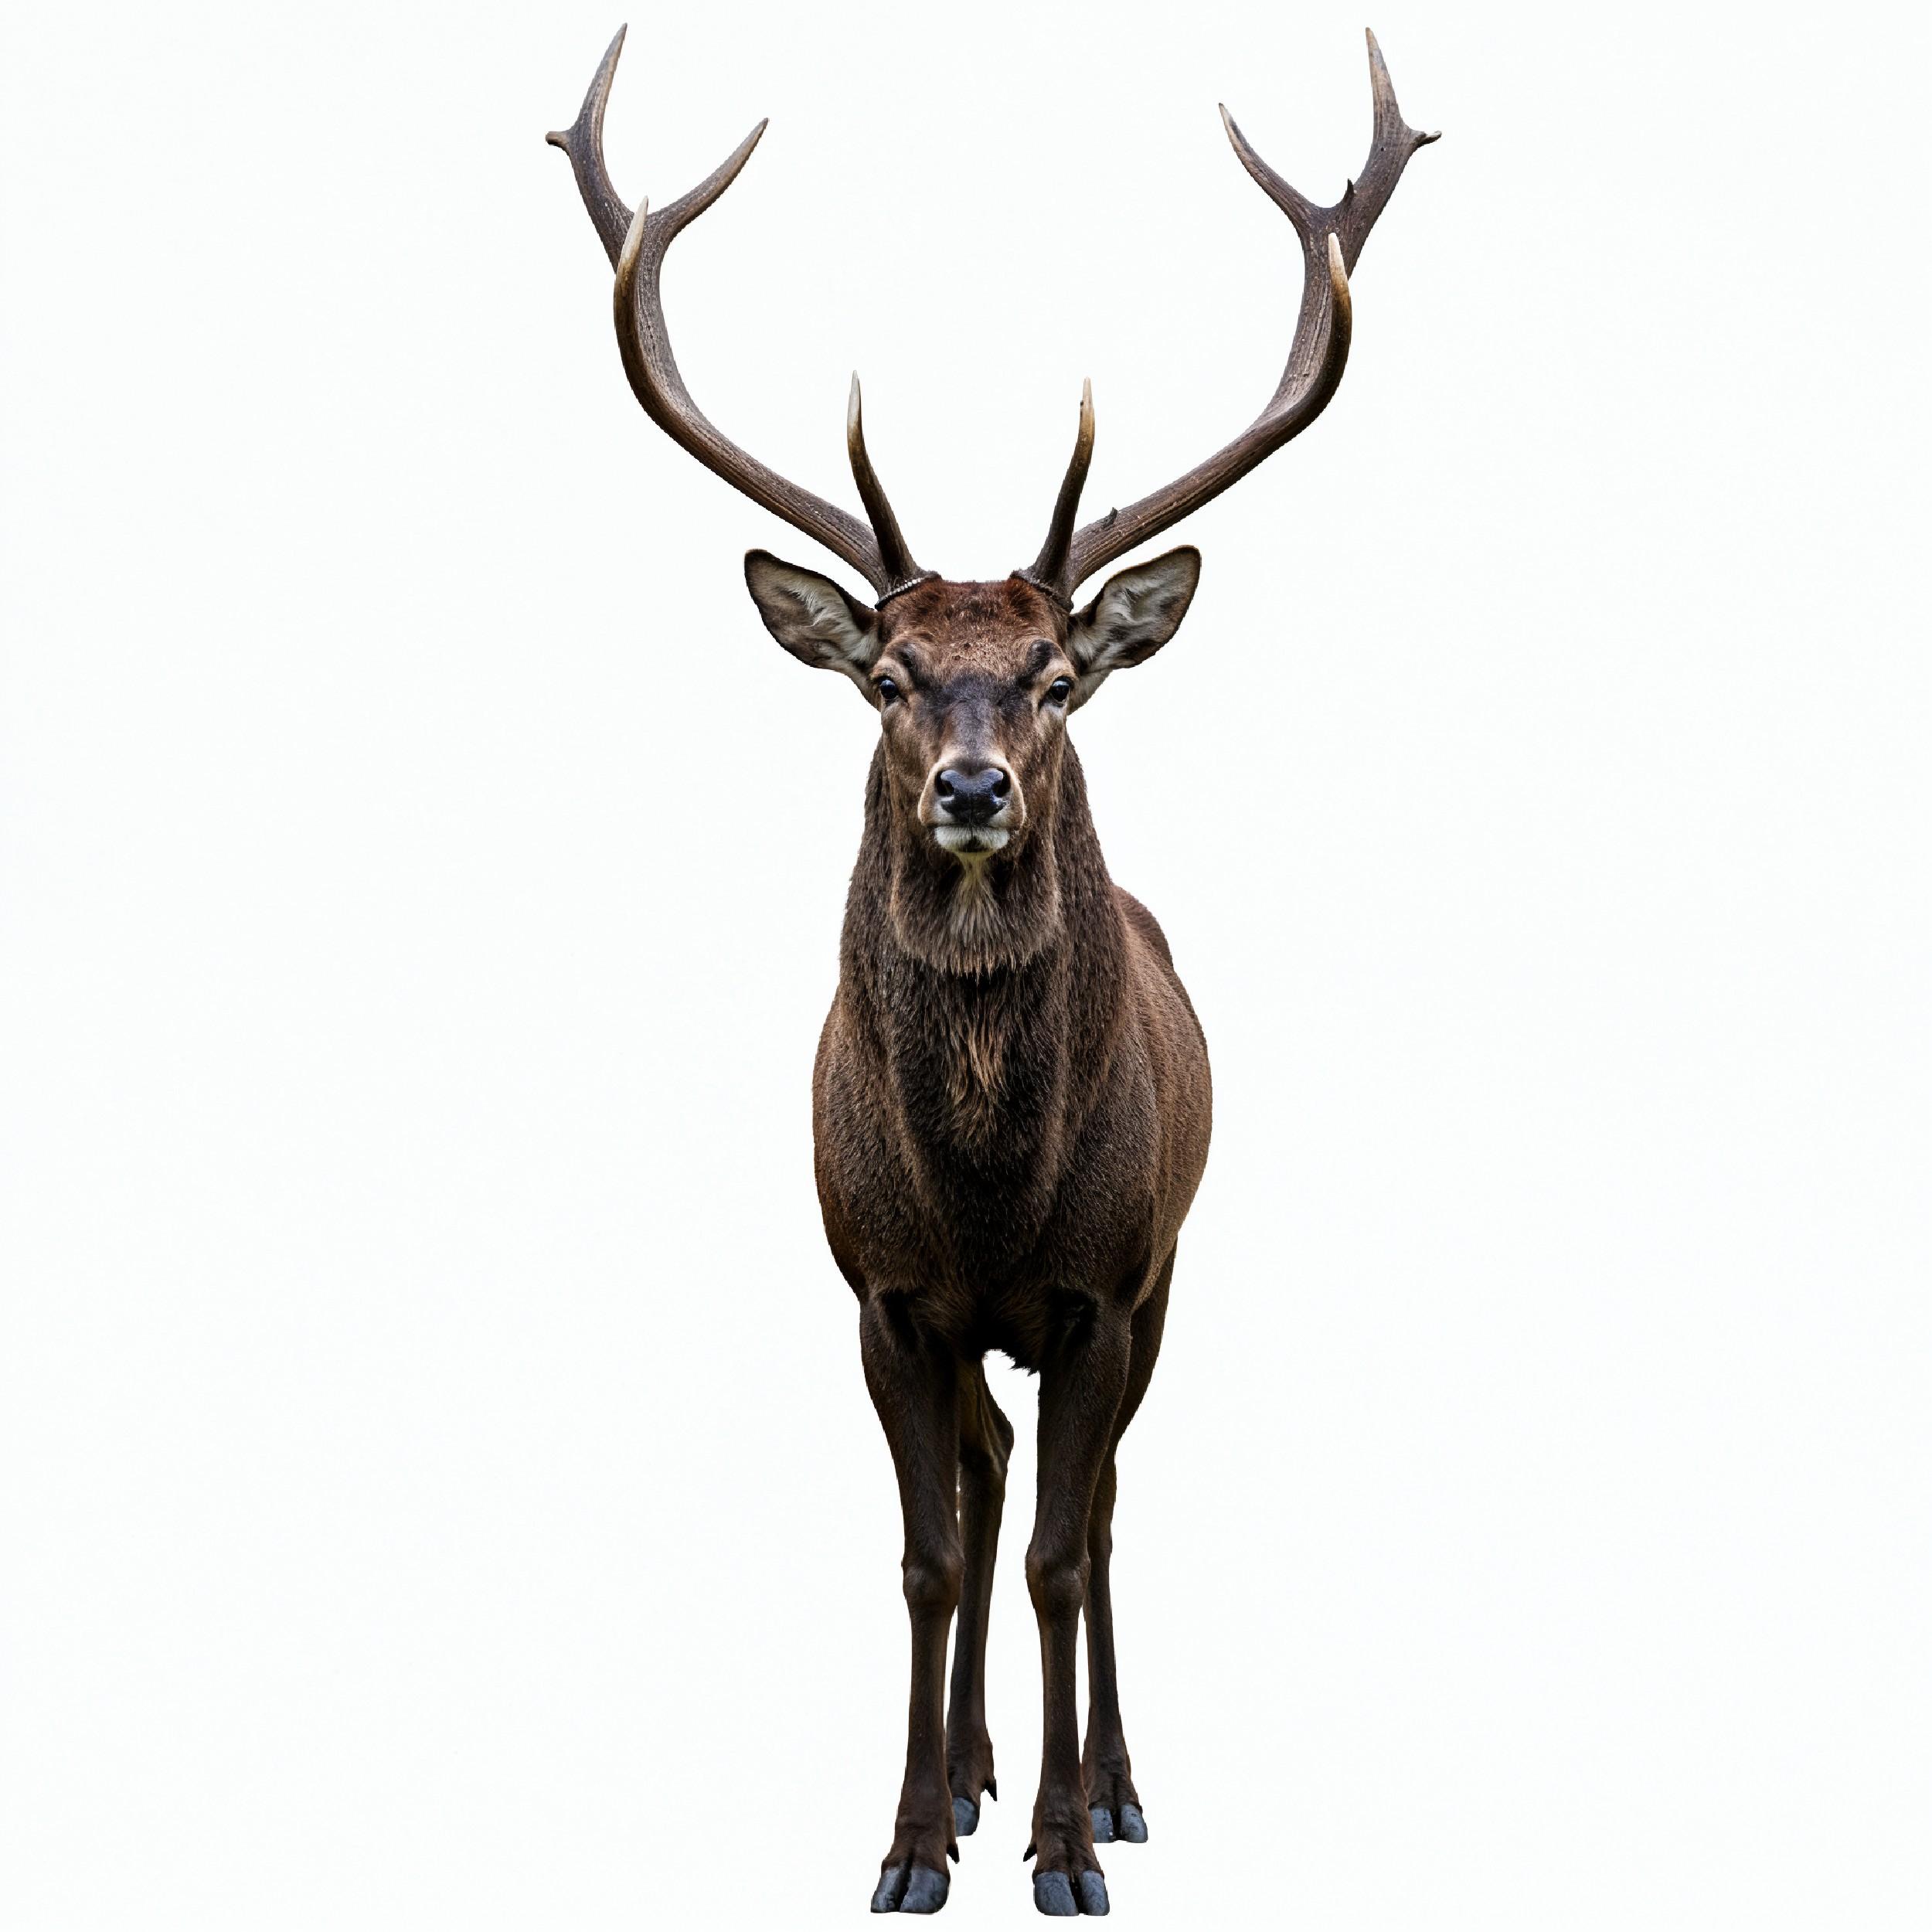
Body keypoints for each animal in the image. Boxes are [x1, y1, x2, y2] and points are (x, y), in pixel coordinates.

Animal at [548, 24, 1434, 1917]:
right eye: (886, 675)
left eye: (1053, 675)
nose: (972, 786)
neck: (985, 1192)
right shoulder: (885, 1293)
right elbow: (931, 1558)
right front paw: (906, 1838)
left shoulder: (1105, 1283)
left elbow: (1054, 1559)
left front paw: (1063, 1839)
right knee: (992, 1464)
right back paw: (963, 1771)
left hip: (1169, 1273)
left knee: (1094, 1507)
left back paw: (1106, 1782)